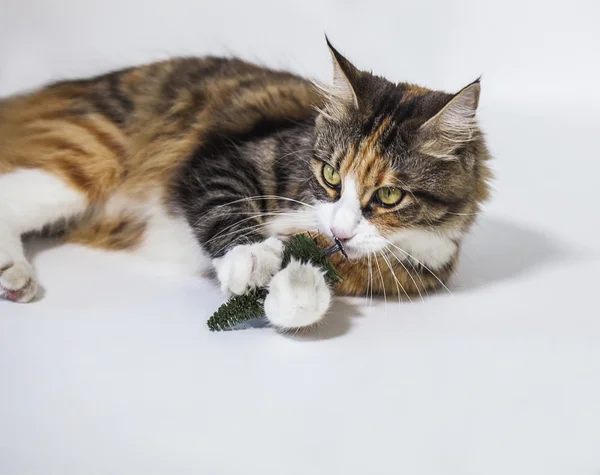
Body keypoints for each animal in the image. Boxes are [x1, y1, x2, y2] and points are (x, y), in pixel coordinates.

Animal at [0, 39, 490, 330]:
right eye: (331, 176)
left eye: (389, 195)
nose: (340, 232)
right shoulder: (220, 161)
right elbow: (227, 212)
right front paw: (251, 259)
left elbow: (310, 291)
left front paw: (291, 286)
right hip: (89, 157)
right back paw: (14, 274)